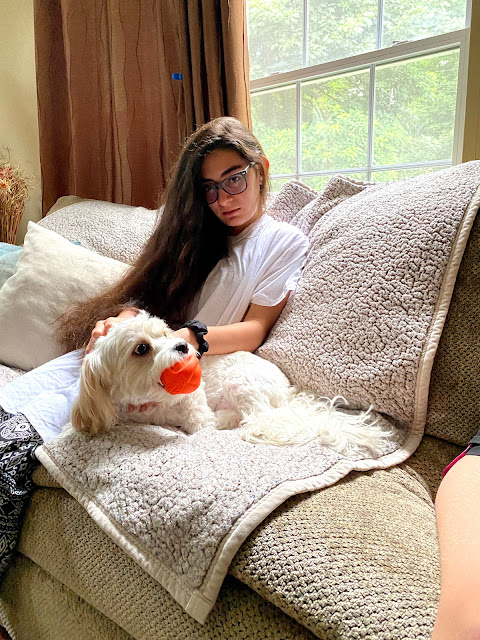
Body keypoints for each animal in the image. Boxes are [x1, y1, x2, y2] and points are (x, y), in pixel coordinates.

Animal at [71, 311, 392, 456]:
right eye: (141, 348)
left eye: (165, 333)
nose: (183, 347)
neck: (158, 403)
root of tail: (286, 393)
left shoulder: (196, 403)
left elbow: (202, 423)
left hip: (242, 382)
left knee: (259, 418)